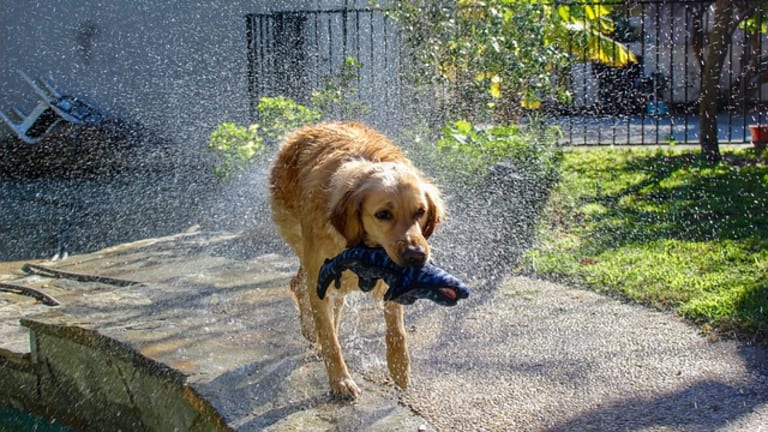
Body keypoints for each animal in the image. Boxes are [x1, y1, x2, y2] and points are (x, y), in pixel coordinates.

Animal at [268, 120, 444, 398]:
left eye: (420, 211)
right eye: (383, 214)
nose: (417, 256)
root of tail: (304, 130)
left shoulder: (391, 277)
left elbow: (397, 330)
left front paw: (400, 369)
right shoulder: (320, 275)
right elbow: (330, 338)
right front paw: (340, 381)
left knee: (326, 298)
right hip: (301, 241)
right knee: (300, 286)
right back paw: (310, 328)